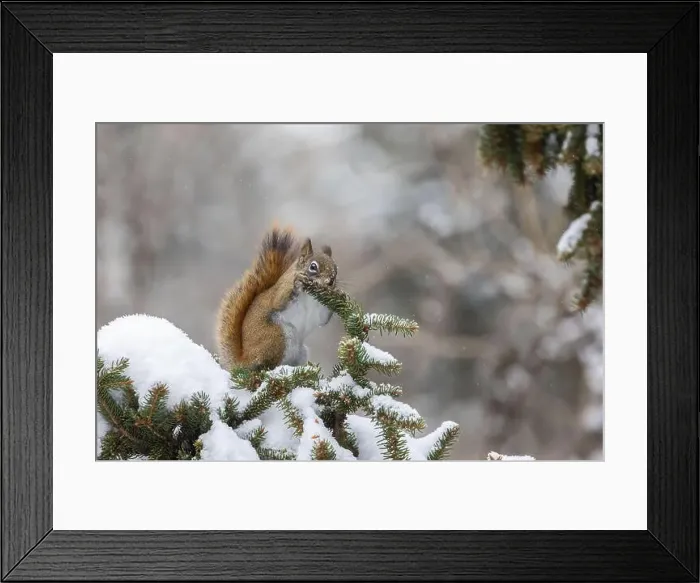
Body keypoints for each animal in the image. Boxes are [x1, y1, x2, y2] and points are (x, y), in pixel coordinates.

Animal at [215, 225, 338, 372]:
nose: (330, 281)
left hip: (300, 352)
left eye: (335, 269)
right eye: (313, 266)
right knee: (266, 365)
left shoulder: (319, 312)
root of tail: (245, 360)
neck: (310, 296)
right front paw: (298, 284)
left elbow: (323, 319)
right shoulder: (281, 291)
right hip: (277, 338)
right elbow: (278, 301)